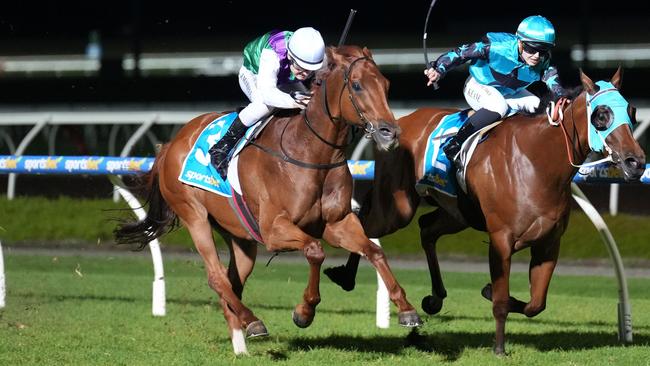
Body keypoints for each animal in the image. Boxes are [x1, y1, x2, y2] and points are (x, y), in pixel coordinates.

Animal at [114, 45, 420, 354]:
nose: (390, 132)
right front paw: (304, 312)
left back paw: (240, 342)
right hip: (194, 216)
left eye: (386, 84)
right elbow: (315, 250)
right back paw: (253, 321)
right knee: (216, 277)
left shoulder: (338, 223)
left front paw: (407, 309)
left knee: (232, 281)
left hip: (241, 237)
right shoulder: (274, 230)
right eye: (356, 85)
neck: (311, 152)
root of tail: (171, 144)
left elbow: (374, 251)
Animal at [324, 67, 644, 354]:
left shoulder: (549, 242)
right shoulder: (500, 240)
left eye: (632, 111)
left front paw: (490, 292)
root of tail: (399, 121)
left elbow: (536, 304)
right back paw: (346, 276)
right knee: (366, 225)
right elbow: (502, 301)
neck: (537, 162)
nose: (635, 162)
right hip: (398, 208)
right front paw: (499, 347)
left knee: (426, 228)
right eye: (601, 114)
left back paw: (434, 297)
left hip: (457, 212)